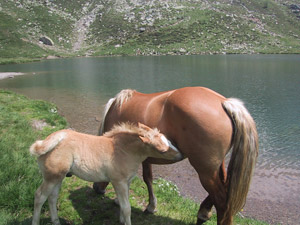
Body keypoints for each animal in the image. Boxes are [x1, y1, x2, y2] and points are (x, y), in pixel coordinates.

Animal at [93, 86, 258, 225]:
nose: (96, 188)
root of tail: (223, 102)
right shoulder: (145, 156)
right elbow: (148, 178)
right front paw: (150, 205)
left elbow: (144, 179)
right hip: (216, 166)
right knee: (225, 188)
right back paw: (203, 213)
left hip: (205, 170)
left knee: (222, 201)